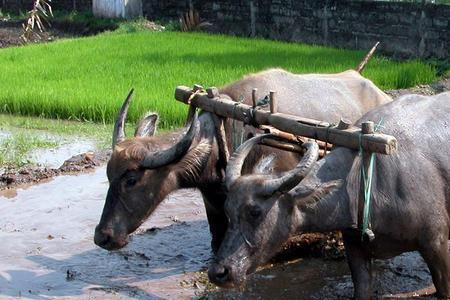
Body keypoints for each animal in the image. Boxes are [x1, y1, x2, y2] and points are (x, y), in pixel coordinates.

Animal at [209, 92, 450, 298]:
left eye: (255, 212)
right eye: (227, 210)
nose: (219, 273)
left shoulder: (435, 243)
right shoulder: (355, 248)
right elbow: (362, 289)